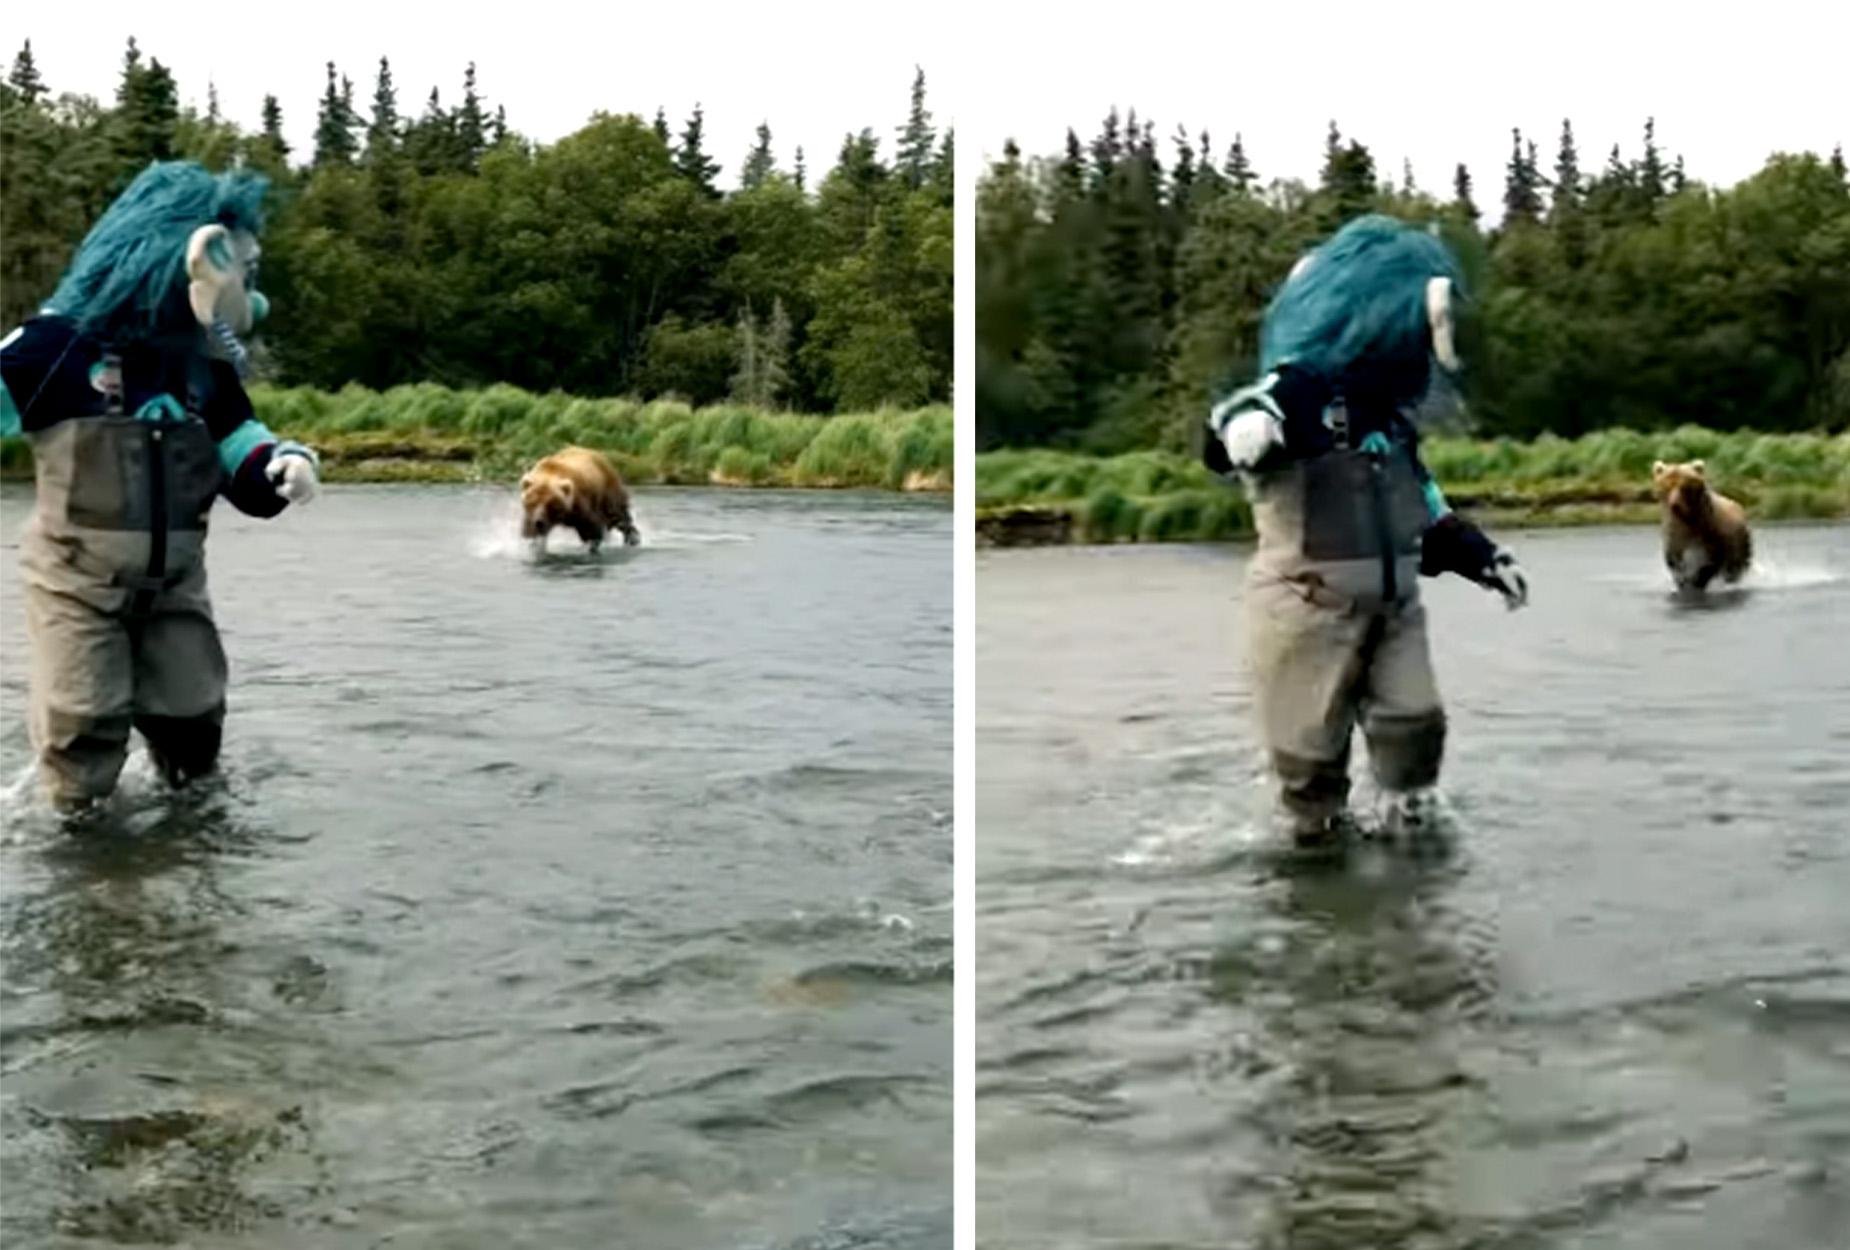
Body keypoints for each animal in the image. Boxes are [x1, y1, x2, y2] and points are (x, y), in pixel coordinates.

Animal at [1650, 458, 1751, 592]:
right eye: (1668, 485)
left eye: (1684, 486)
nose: (1675, 505)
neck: (1686, 519)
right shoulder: (1674, 533)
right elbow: (1674, 559)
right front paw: (1683, 581)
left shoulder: (1709, 532)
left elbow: (1710, 562)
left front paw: (1696, 581)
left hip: (1740, 541)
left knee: (1735, 567)